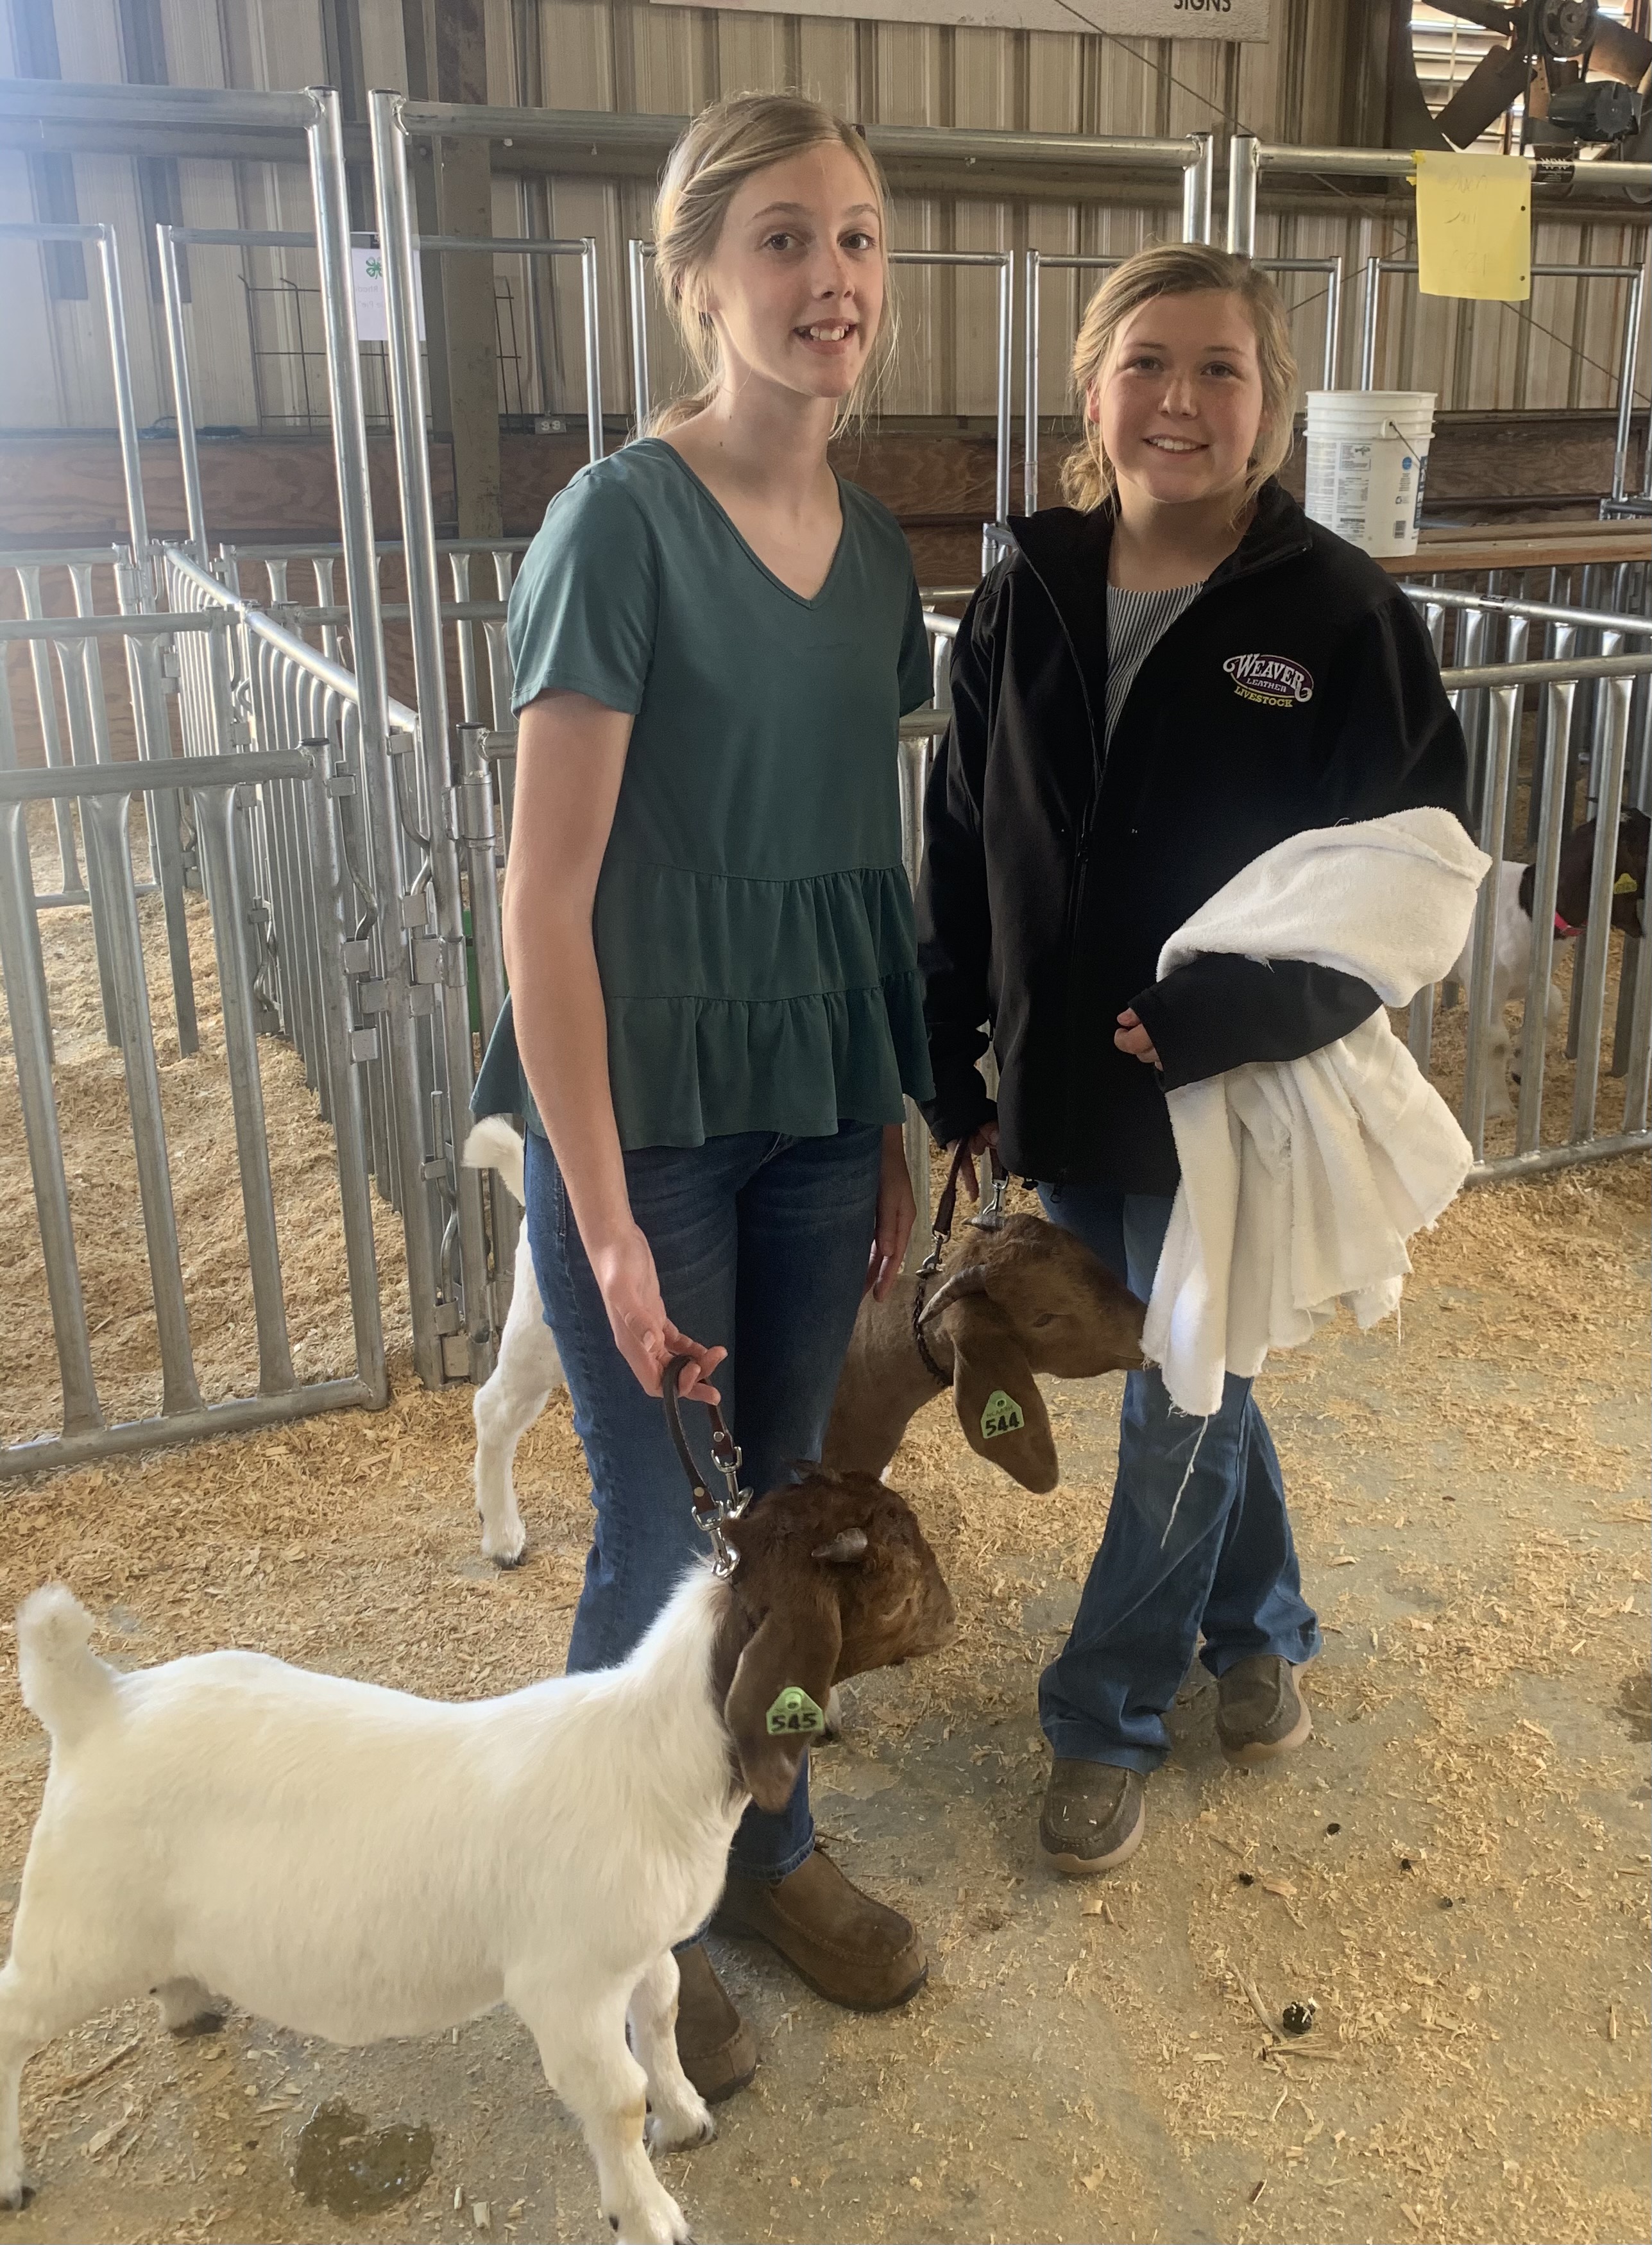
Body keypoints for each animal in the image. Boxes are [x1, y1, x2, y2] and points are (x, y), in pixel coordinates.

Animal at [3, 1472, 956, 2245]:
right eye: (898, 1551)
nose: (950, 1612)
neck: (654, 1756)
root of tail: (95, 1703)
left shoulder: (642, 1949)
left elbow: (659, 2020)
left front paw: (685, 2118)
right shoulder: (566, 1983)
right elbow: (615, 2095)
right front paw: (648, 2212)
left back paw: (189, 2001)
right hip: (76, 1921)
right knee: (12, 2013)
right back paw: (13, 2176)